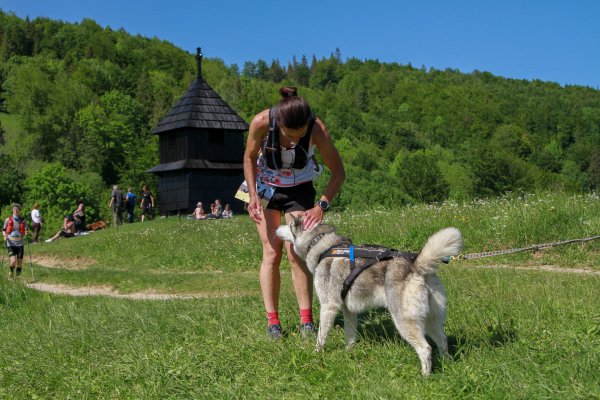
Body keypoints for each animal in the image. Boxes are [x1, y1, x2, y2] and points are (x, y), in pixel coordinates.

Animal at [276, 219, 464, 376]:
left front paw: (316, 355)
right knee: (442, 340)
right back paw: (446, 365)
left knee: (426, 348)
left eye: (288, 224)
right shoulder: (349, 311)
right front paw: (348, 354)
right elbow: (350, 336)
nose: (276, 228)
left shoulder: (328, 306)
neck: (322, 246)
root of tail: (416, 265)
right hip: (431, 319)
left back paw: (425, 377)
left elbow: (321, 337)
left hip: (405, 321)